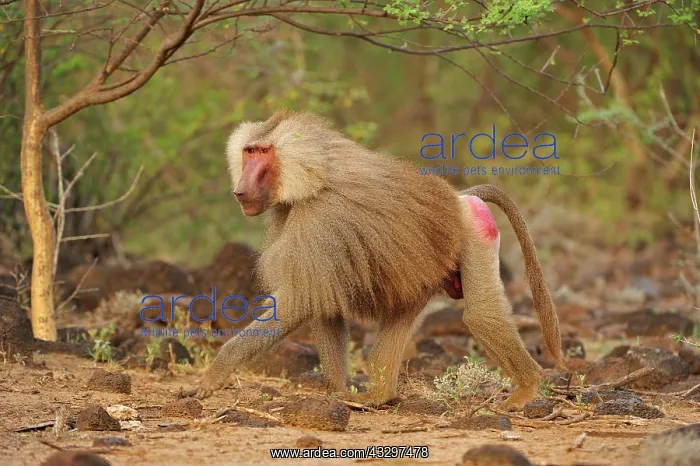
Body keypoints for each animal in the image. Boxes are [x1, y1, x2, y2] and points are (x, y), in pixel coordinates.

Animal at [187, 110, 562, 409]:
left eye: (263, 153)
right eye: (248, 152)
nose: (240, 190)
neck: (312, 176)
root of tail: (458, 196)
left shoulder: (319, 223)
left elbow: (297, 301)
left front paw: (213, 375)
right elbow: (322, 303)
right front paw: (338, 393)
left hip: (473, 233)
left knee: (480, 315)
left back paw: (527, 387)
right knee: (402, 314)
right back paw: (381, 396)